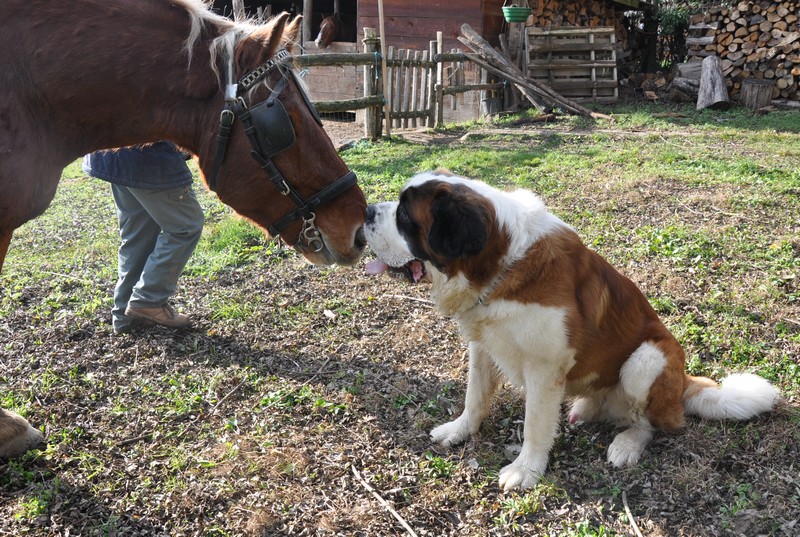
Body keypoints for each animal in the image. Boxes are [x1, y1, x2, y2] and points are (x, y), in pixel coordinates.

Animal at [366, 171, 780, 490]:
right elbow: (475, 395)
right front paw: (460, 429)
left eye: (405, 215)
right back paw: (586, 409)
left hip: (648, 358)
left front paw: (525, 470)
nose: (367, 210)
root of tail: (683, 384)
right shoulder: (483, 346)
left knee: (650, 423)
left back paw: (627, 443)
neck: (499, 264)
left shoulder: (545, 367)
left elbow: (535, 424)